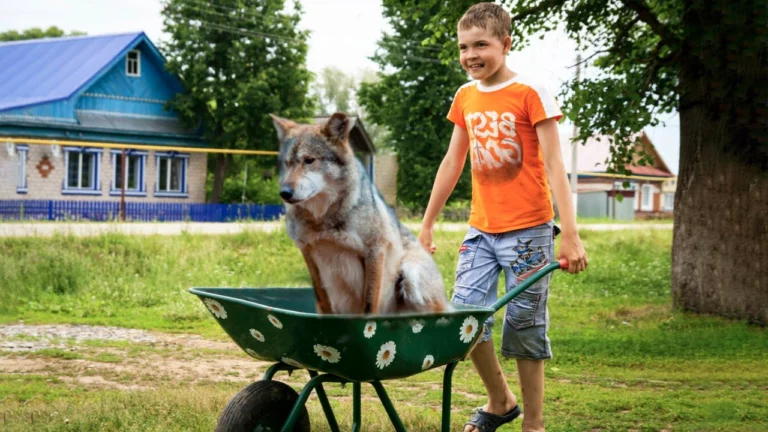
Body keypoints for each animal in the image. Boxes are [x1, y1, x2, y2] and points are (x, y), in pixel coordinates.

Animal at [270, 111, 450, 314]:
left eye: (309, 160)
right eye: (287, 164)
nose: (284, 193)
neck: (322, 220)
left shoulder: (375, 251)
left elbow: (369, 304)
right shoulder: (308, 253)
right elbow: (323, 303)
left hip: (411, 276)